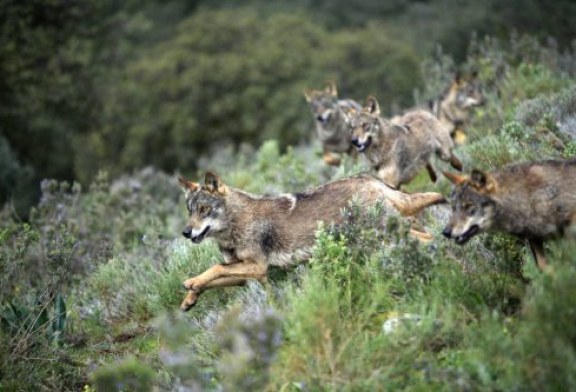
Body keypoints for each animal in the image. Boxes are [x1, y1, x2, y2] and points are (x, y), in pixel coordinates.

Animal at [179, 172, 446, 310]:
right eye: (189, 211)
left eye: (204, 210)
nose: (186, 232)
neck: (235, 223)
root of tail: (371, 179)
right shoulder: (247, 275)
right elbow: (214, 276)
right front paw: (189, 299)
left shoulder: (257, 267)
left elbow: (213, 269)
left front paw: (190, 282)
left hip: (384, 236)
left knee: (428, 238)